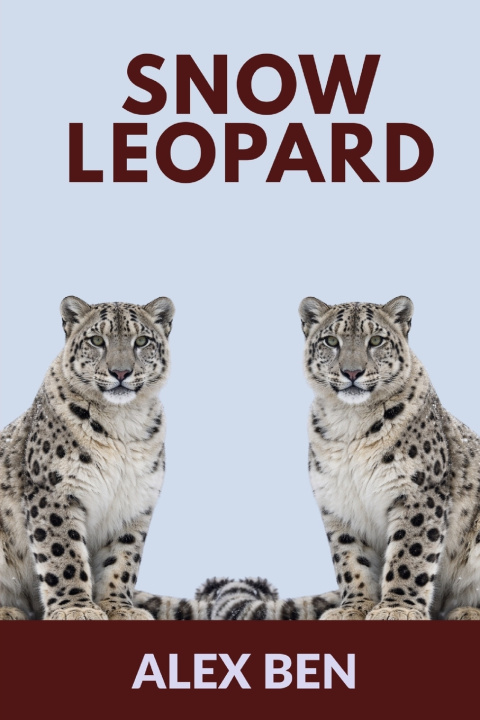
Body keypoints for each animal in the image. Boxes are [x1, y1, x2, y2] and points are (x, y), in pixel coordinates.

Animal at [0, 295, 174, 620]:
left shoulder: (135, 501)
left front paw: (120, 608)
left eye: (141, 341)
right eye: (96, 340)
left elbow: (123, 559)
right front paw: (77, 609)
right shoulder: (55, 491)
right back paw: (9, 611)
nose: (121, 372)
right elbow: (63, 553)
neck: (123, 423)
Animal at [299, 295, 480, 620]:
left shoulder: (418, 492)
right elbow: (349, 559)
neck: (350, 422)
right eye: (331, 341)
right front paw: (353, 608)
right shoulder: (338, 502)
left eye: (376, 340)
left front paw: (396, 609)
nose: (352, 372)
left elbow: (410, 554)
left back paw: (466, 612)